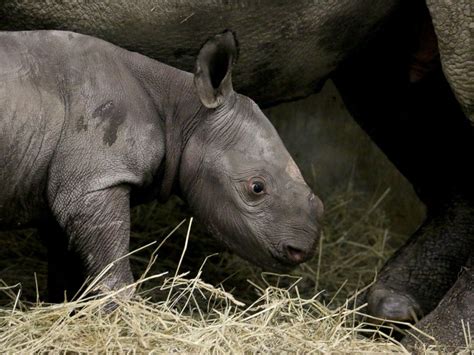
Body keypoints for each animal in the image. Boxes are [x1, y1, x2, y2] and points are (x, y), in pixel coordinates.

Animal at [1, 0, 472, 350]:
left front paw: (77, 314)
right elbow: (101, 252)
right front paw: (112, 317)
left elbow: (75, 249)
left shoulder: (86, 177)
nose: (301, 251)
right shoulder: (94, 177)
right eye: (256, 189)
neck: (182, 107)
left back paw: (414, 328)